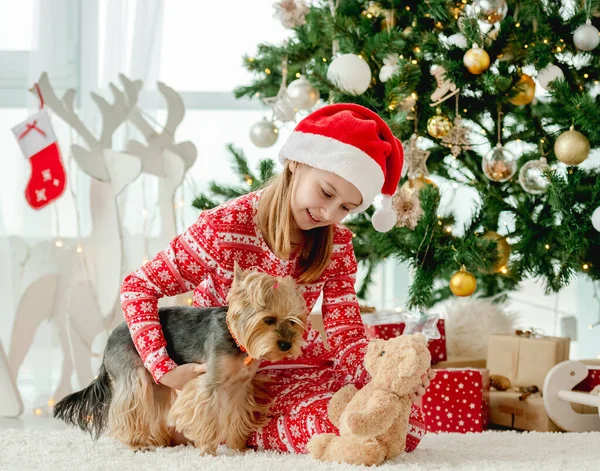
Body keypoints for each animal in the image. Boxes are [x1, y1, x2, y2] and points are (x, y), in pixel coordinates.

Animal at [53, 264, 308, 456]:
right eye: (268, 320)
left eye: (293, 322)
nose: (286, 345)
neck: (237, 340)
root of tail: (107, 344)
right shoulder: (208, 384)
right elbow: (206, 415)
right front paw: (208, 450)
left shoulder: (239, 387)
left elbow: (236, 415)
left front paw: (238, 447)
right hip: (134, 375)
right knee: (130, 407)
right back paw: (137, 444)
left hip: (158, 383)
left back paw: (161, 440)